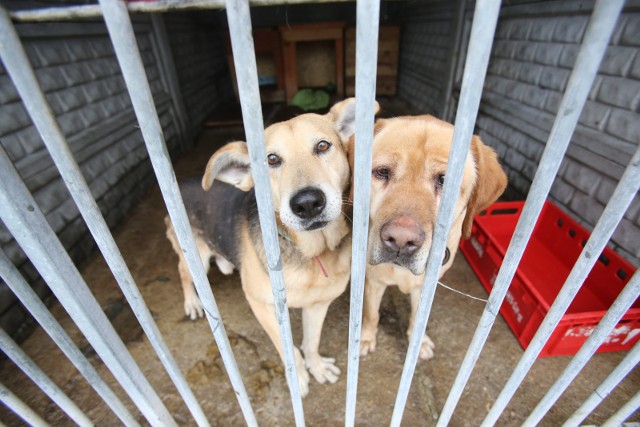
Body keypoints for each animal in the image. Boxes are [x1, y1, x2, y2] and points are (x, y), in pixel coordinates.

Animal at [166, 98, 380, 396]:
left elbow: (311, 343)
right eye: (271, 160)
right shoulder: (262, 305)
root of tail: (182, 182)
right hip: (194, 254)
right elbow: (289, 349)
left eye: (323, 146)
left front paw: (316, 367)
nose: (307, 203)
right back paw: (193, 303)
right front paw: (298, 378)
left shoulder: (318, 304)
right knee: (184, 273)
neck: (309, 251)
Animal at [352, 116, 508, 362]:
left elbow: (418, 318)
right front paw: (366, 338)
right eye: (383, 172)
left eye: (444, 180)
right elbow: (371, 313)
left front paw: (419, 343)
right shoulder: (374, 281)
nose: (400, 240)